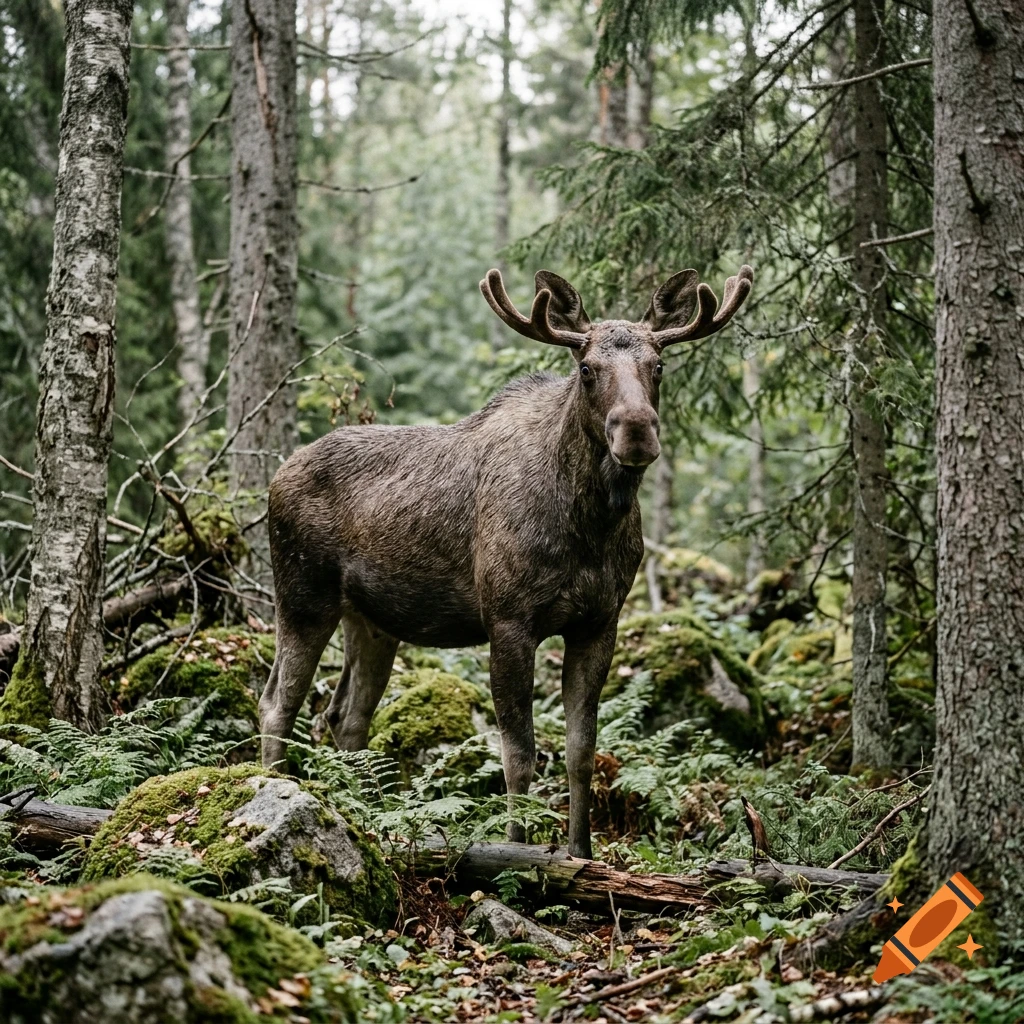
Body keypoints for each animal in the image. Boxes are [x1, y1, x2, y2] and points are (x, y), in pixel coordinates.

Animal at [259, 264, 753, 859]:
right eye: (586, 369)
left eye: (658, 365)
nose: (636, 430)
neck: (588, 528)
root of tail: (276, 476)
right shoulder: (509, 618)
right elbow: (519, 755)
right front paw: (517, 848)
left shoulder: (599, 622)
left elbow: (581, 751)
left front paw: (581, 853)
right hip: (301, 592)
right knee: (278, 702)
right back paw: (277, 790)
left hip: (373, 620)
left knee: (346, 716)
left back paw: (372, 819)